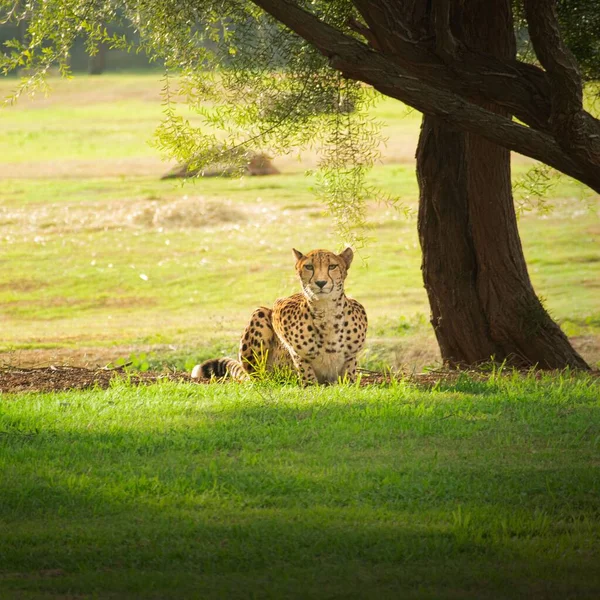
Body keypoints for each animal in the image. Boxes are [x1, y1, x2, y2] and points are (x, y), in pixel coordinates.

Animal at [195, 247, 368, 384]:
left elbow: (348, 376)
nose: (320, 283)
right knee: (259, 377)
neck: (326, 312)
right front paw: (310, 385)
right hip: (260, 314)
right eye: (309, 266)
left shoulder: (351, 356)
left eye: (332, 266)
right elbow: (307, 374)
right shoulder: (283, 321)